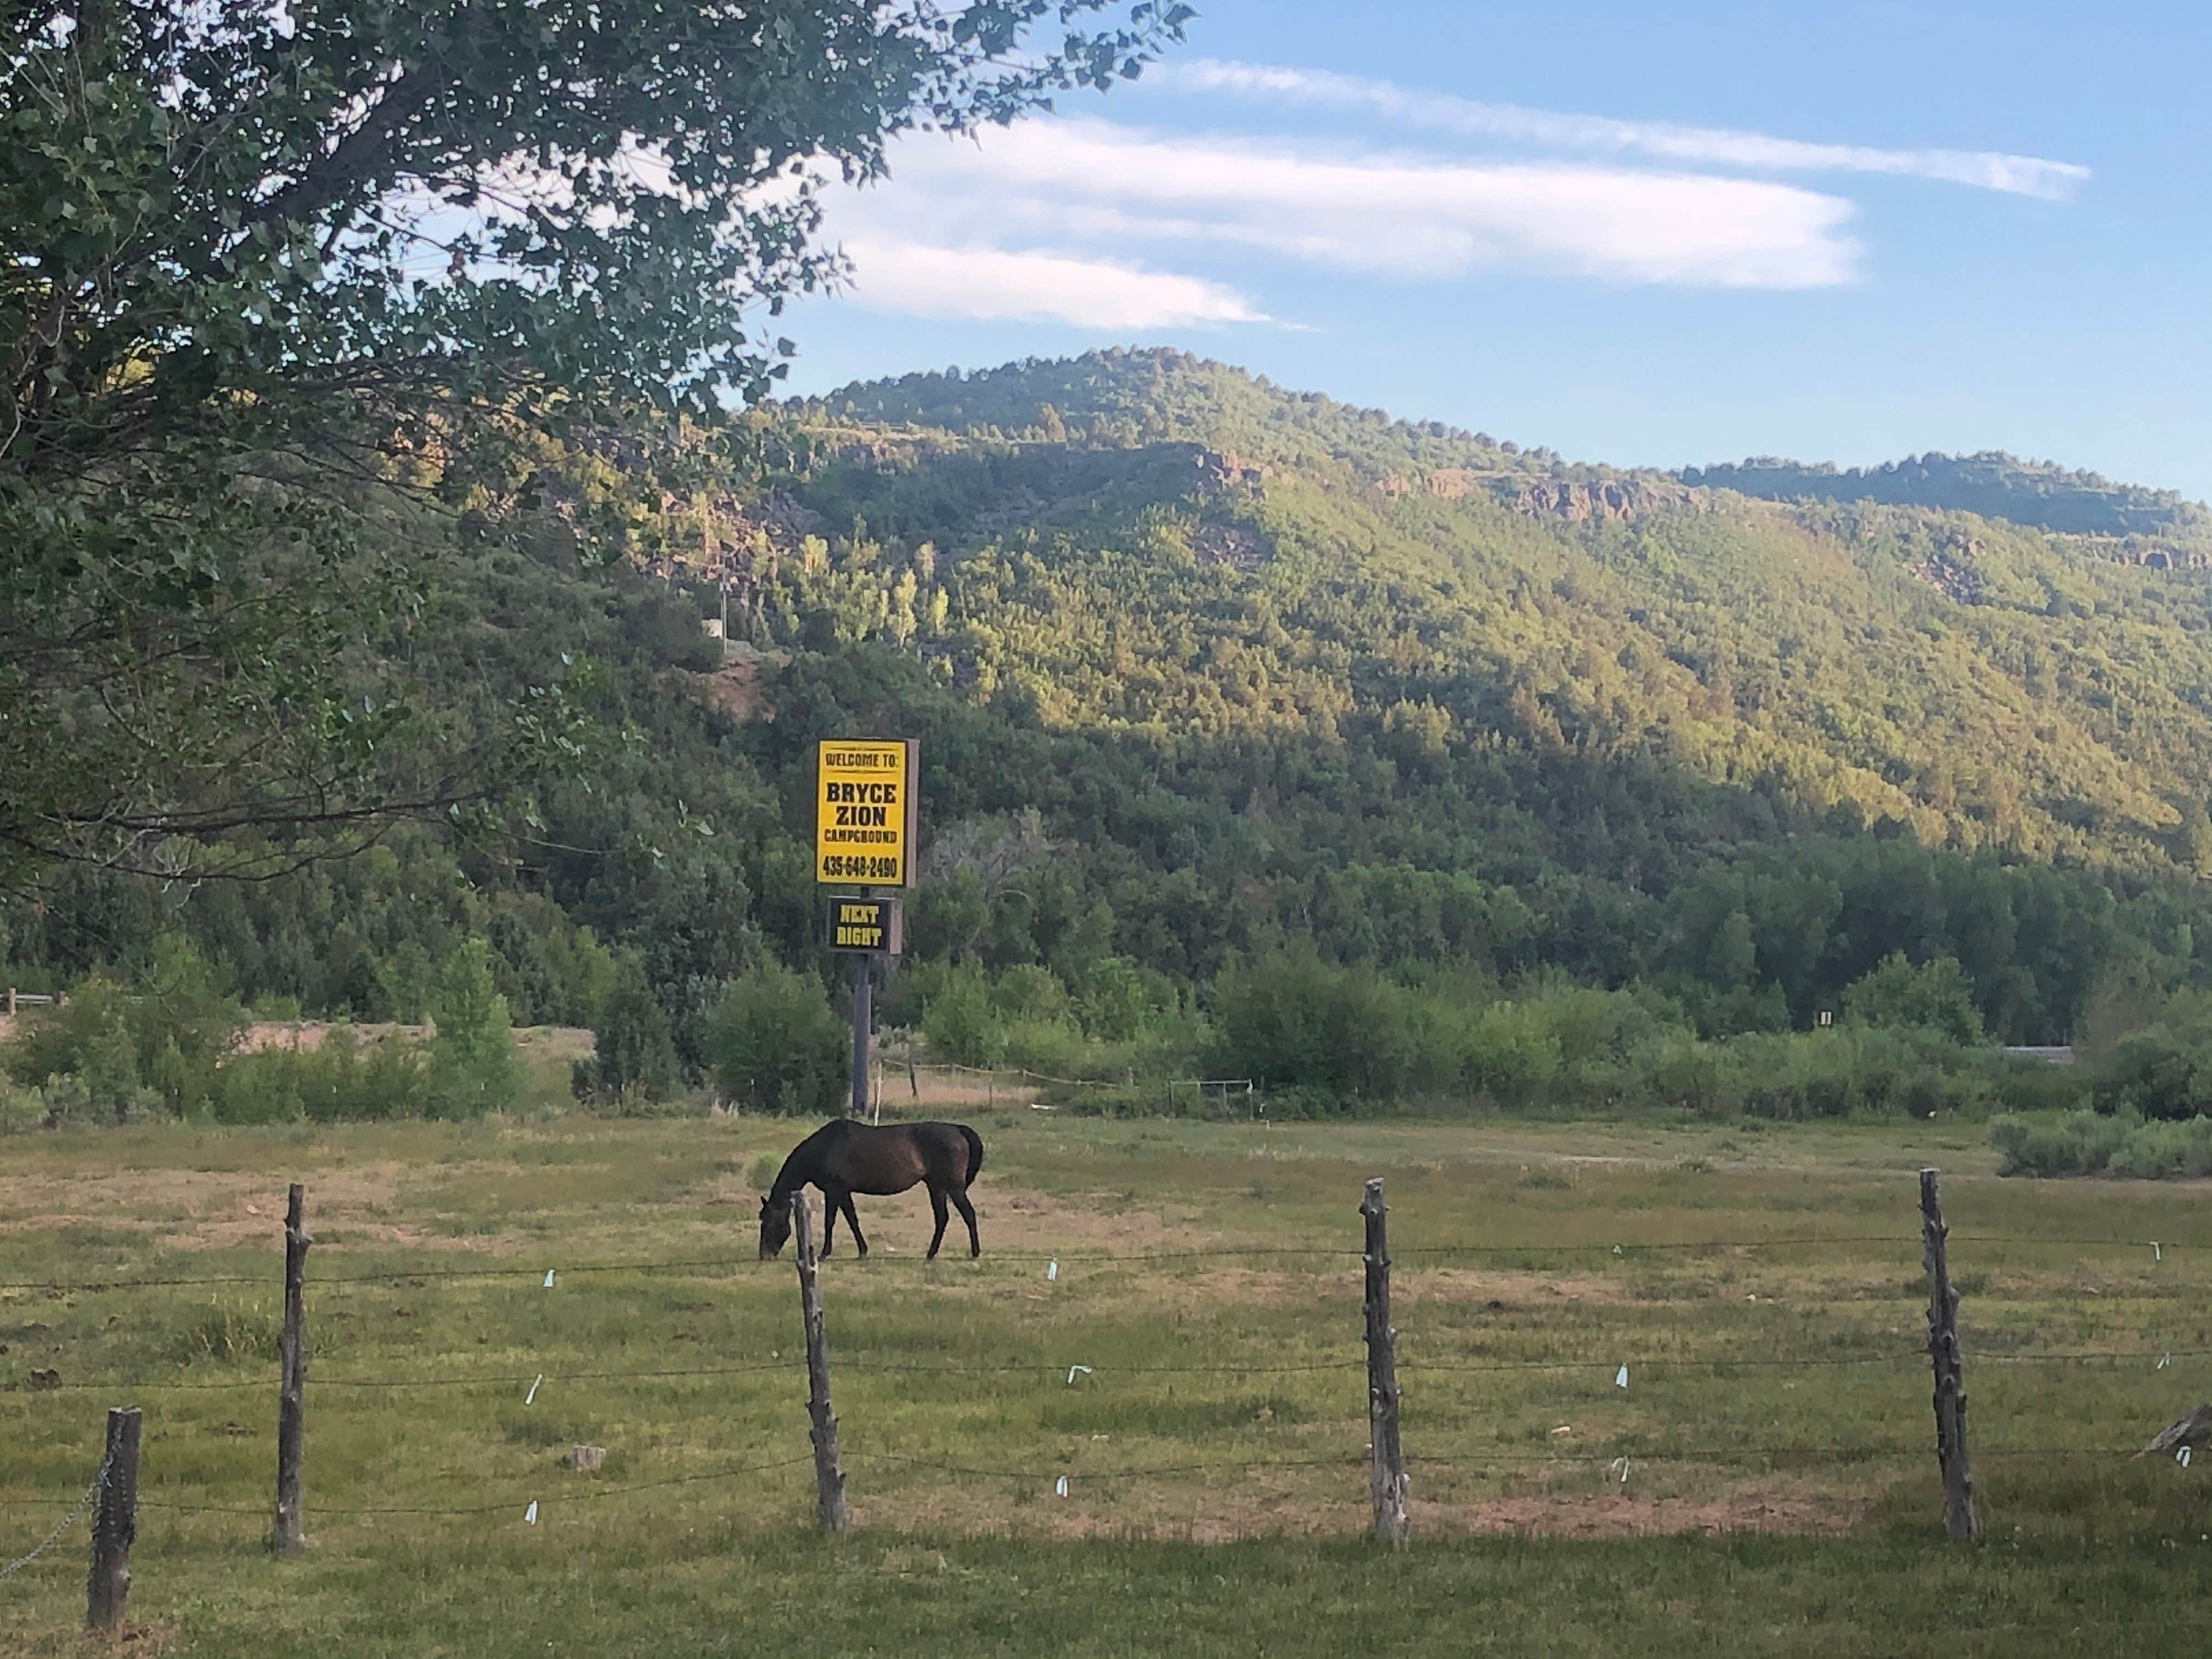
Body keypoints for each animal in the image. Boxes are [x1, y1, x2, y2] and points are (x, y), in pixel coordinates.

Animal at [761, 1124, 986, 1265]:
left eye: (769, 1223)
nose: (765, 1255)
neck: (824, 1148)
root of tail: (958, 1130)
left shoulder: (835, 1191)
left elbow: (831, 1221)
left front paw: (825, 1253)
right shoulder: (843, 1192)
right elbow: (852, 1220)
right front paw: (863, 1251)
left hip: (954, 1188)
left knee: (968, 1215)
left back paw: (975, 1253)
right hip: (936, 1186)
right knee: (942, 1218)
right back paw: (931, 1254)